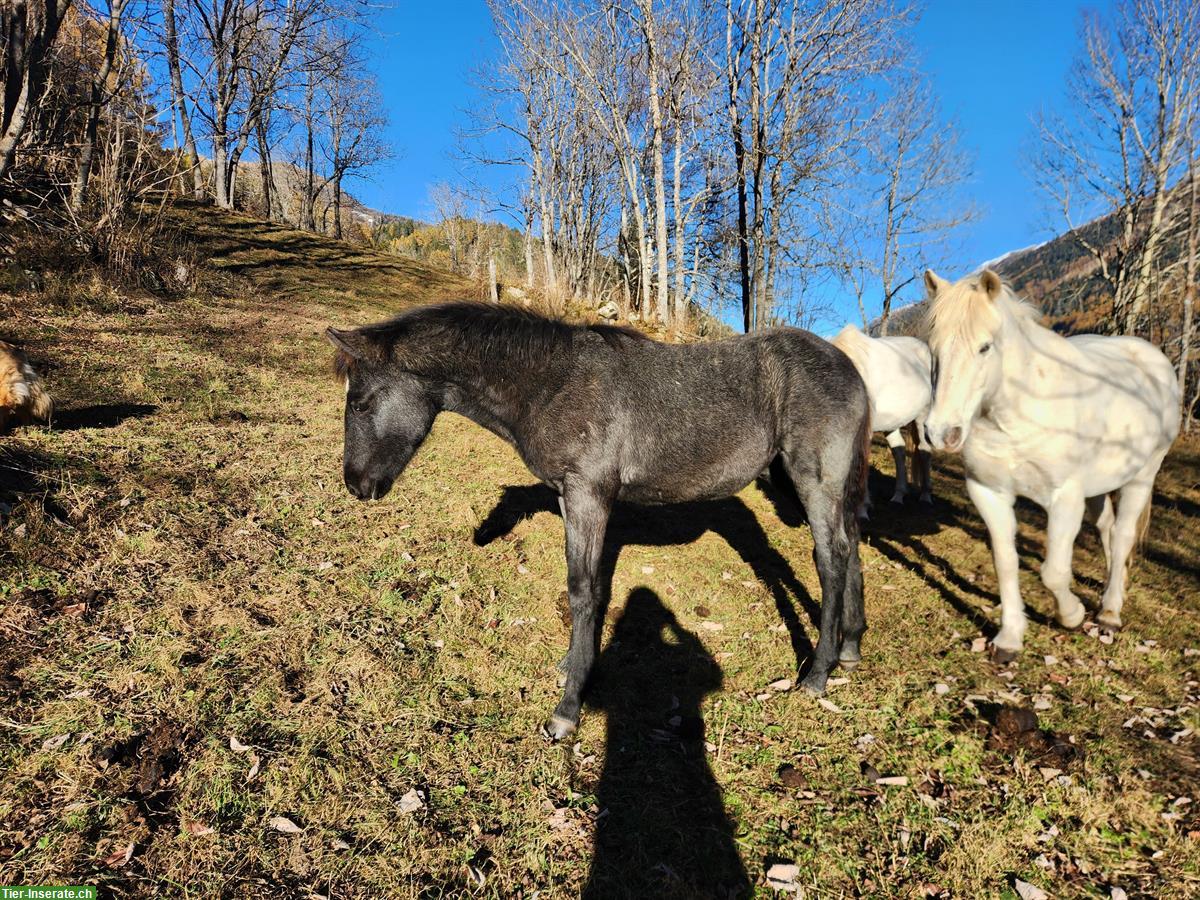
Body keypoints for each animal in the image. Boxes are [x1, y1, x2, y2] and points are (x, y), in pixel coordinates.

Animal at [328, 303, 873, 739]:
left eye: (359, 402)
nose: (356, 485)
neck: (552, 383)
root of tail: (849, 368)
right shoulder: (571, 499)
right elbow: (584, 588)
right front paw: (574, 664)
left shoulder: (589, 495)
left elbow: (584, 591)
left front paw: (568, 707)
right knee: (851, 550)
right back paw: (849, 649)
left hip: (813, 481)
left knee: (831, 559)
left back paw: (817, 674)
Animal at [835, 324, 936, 511]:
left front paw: (861, 508)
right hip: (892, 424)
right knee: (899, 451)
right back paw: (898, 496)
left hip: (922, 417)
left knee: (924, 450)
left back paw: (925, 496)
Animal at [921, 267, 1176, 662]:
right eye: (932, 348)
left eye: (985, 347)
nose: (940, 433)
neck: (1018, 415)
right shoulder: (988, 493)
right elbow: (1005, 562)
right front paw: (1009, 638)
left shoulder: (1064, 498)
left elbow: (1053, 572)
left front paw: (1071, 616)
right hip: (1099, 485)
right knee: (1107, 528)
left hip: (1142, 476)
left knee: (1122, 536)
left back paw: (1109, 612)